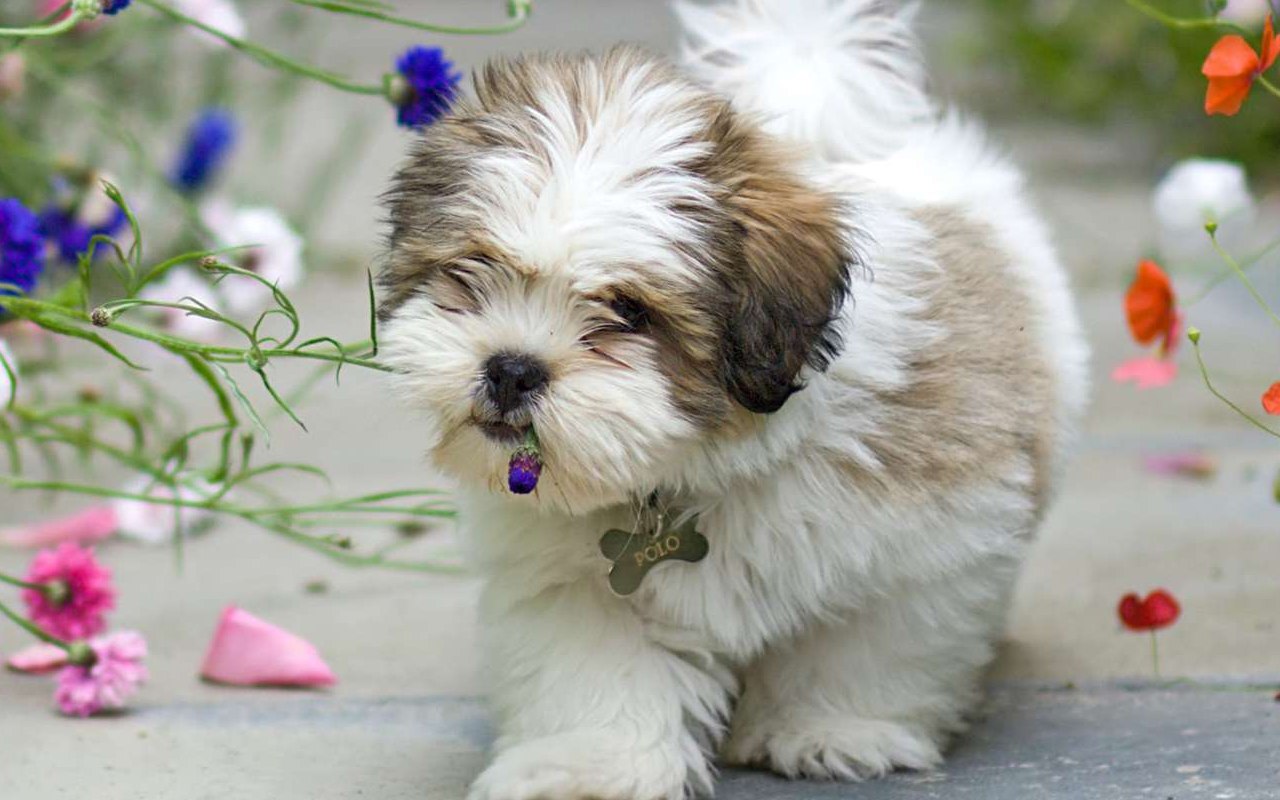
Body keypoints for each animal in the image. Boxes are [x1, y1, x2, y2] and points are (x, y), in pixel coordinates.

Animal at [376, 1, 1090, 798]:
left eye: (629, 312)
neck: (697, 467)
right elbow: (597, 670)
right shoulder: (573, 581)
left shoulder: (922, 542)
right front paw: (592, 764)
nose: (510, 369)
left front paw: (832, 730)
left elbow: (866, 642)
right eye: (473, 269)